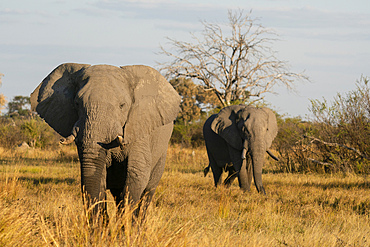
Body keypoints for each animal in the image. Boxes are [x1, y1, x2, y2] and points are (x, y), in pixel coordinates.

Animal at [31, 62, 181, 217]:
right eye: (77, 103)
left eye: (122, 105)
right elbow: (98, 174)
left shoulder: (140, 129)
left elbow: (137, 174)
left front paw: (126, 223)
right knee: (117, 192)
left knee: (147, 192)